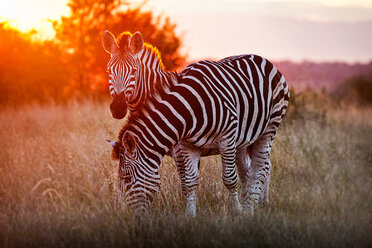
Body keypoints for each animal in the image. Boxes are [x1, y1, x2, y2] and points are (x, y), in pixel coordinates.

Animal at [103, 29, 290, 215]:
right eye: (108, 71)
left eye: (134, 71)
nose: (118, 107)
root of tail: (259, 57)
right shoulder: (187, 145)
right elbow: (189, 181)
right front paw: (190, 214)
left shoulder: (220, 140)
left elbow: (227, 178)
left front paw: (236, 212)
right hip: (244, 140)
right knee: (250, 170)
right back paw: (252, 202)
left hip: (268, 129)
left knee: (261, 168)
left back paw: (255, 205)